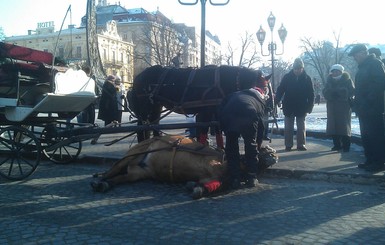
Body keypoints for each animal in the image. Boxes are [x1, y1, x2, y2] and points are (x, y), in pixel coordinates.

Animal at [90, 134, 276, 199]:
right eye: (264, 150)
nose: (274, 154)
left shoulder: (210, 177)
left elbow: (211, 186)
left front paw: (196, 188)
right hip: (134, 153)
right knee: (112, 170)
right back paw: (100, 182)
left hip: (138, 172)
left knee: (121, 177)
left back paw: (105, 185)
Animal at [127, 64, 268, 147]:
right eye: (261, 88)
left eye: (265, 89)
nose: (265, 108)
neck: (221, 81)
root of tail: (138, 77)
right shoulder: (206, 112)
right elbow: (204, 130)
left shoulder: (215, 112)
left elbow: (216, 130)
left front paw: (220, 148)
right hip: (146, 107)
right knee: (142, 126)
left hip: (156, 106)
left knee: (153, 124)